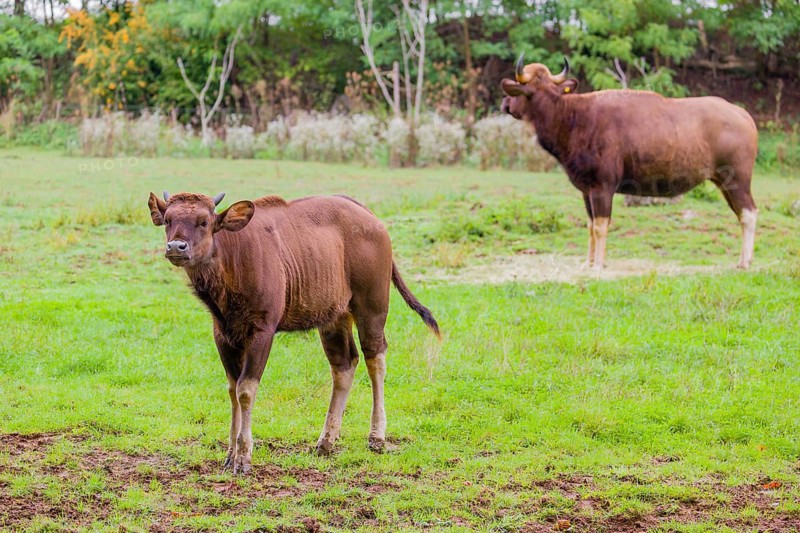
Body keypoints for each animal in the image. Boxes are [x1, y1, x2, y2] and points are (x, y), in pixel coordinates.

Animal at [147, 191, 440, 474]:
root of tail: (371, 218)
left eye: (204, 222)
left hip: (372, 307)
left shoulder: (263, 330)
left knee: (375, 358)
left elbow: (246, 390)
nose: (176, 247)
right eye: (168, 221)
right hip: (334, 318)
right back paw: (326, 441)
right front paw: (230, 455)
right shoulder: (223, 333)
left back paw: (376, 437)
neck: (233, 259)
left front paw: (244, 457)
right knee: (344, 364)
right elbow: (232, 390)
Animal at [501, 54, 759, 269]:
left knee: (749, 213)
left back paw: (744, 262)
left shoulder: (603, 187)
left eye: (518, 90)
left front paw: (598, 264)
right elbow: (590, 227)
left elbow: (600, 227)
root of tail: (744, 116)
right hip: (723, 182)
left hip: (737, 180)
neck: (573, 118)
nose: (504, 104)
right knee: (741, 214)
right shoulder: (586, 190)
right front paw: (588, 262)